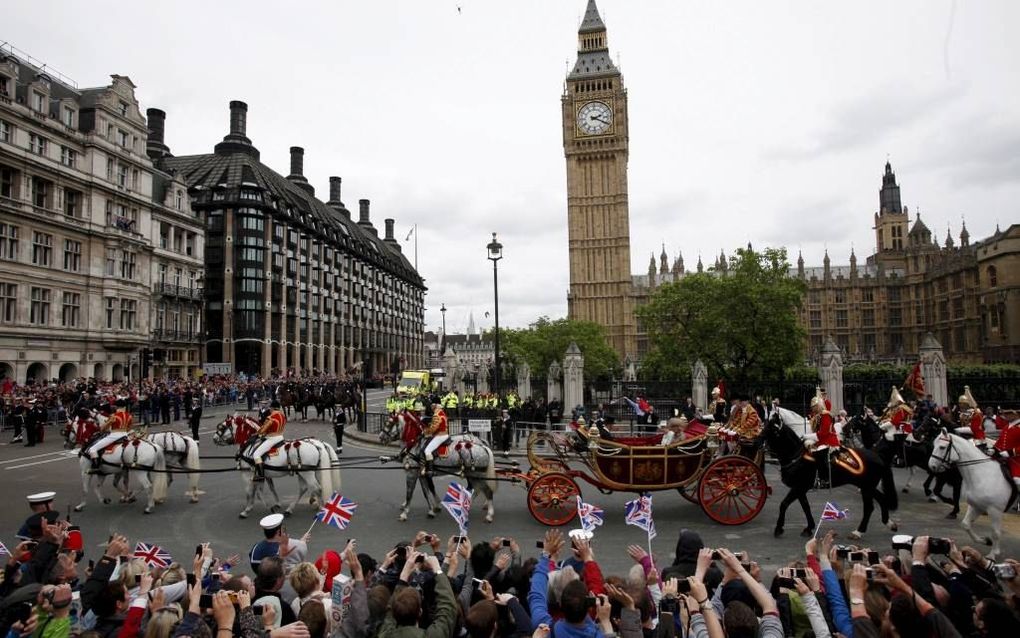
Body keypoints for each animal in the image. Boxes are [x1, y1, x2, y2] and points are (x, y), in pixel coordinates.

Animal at [758, 410, 901, 538]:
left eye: (773, 429)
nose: (757, 441)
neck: (796, 456)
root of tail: (878, 455)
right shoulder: (800, 489)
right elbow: (806, 507)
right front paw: (809, 528)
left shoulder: (798, 487)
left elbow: (784, 504)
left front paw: (779, 528)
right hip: (866, 486)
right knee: (881, 499)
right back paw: (889, 524)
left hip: (867, 487)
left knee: (869, 507)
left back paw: (858, 532)